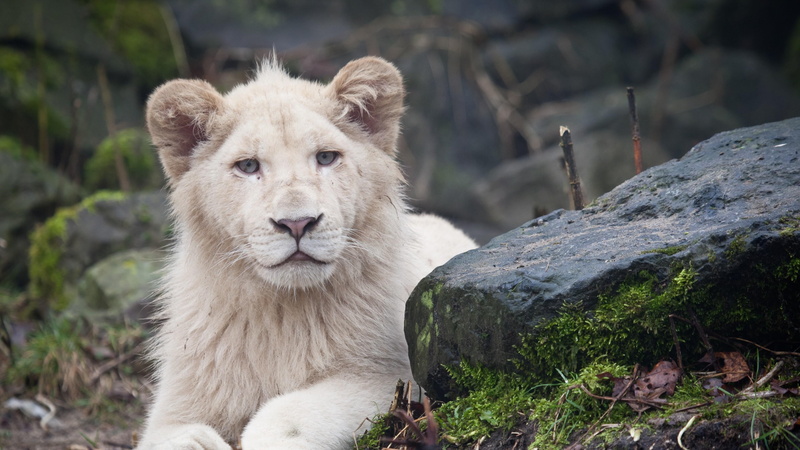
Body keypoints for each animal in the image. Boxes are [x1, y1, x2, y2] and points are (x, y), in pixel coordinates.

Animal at [137, 56, 477, 449]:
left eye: (326, 157)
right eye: (248, 165)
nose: (297, 223)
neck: (284, 312)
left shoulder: (389, 374)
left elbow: (287, 414)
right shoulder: (176, 405)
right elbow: (172, 436)